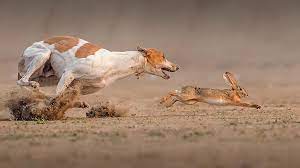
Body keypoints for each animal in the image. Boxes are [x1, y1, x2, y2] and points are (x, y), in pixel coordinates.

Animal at [18, 36, 178, 98]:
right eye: (163, 56)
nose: (177, 67)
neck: (114, 62)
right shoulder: (69, 73)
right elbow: (58, 95)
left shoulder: (78, 85)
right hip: (42, 55)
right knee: (21, 81)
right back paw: (33, 86)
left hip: (48, 77)